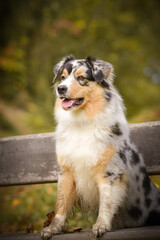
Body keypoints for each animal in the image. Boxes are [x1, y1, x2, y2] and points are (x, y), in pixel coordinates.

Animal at [41, 55, 160, 238]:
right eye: (62, 77)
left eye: (81, 77)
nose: (60, 89)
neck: (81, 123)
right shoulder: (67, 171)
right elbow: (62, 203)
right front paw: (53, 229)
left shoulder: (109, 172)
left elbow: (106, 202)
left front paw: (101, 225)